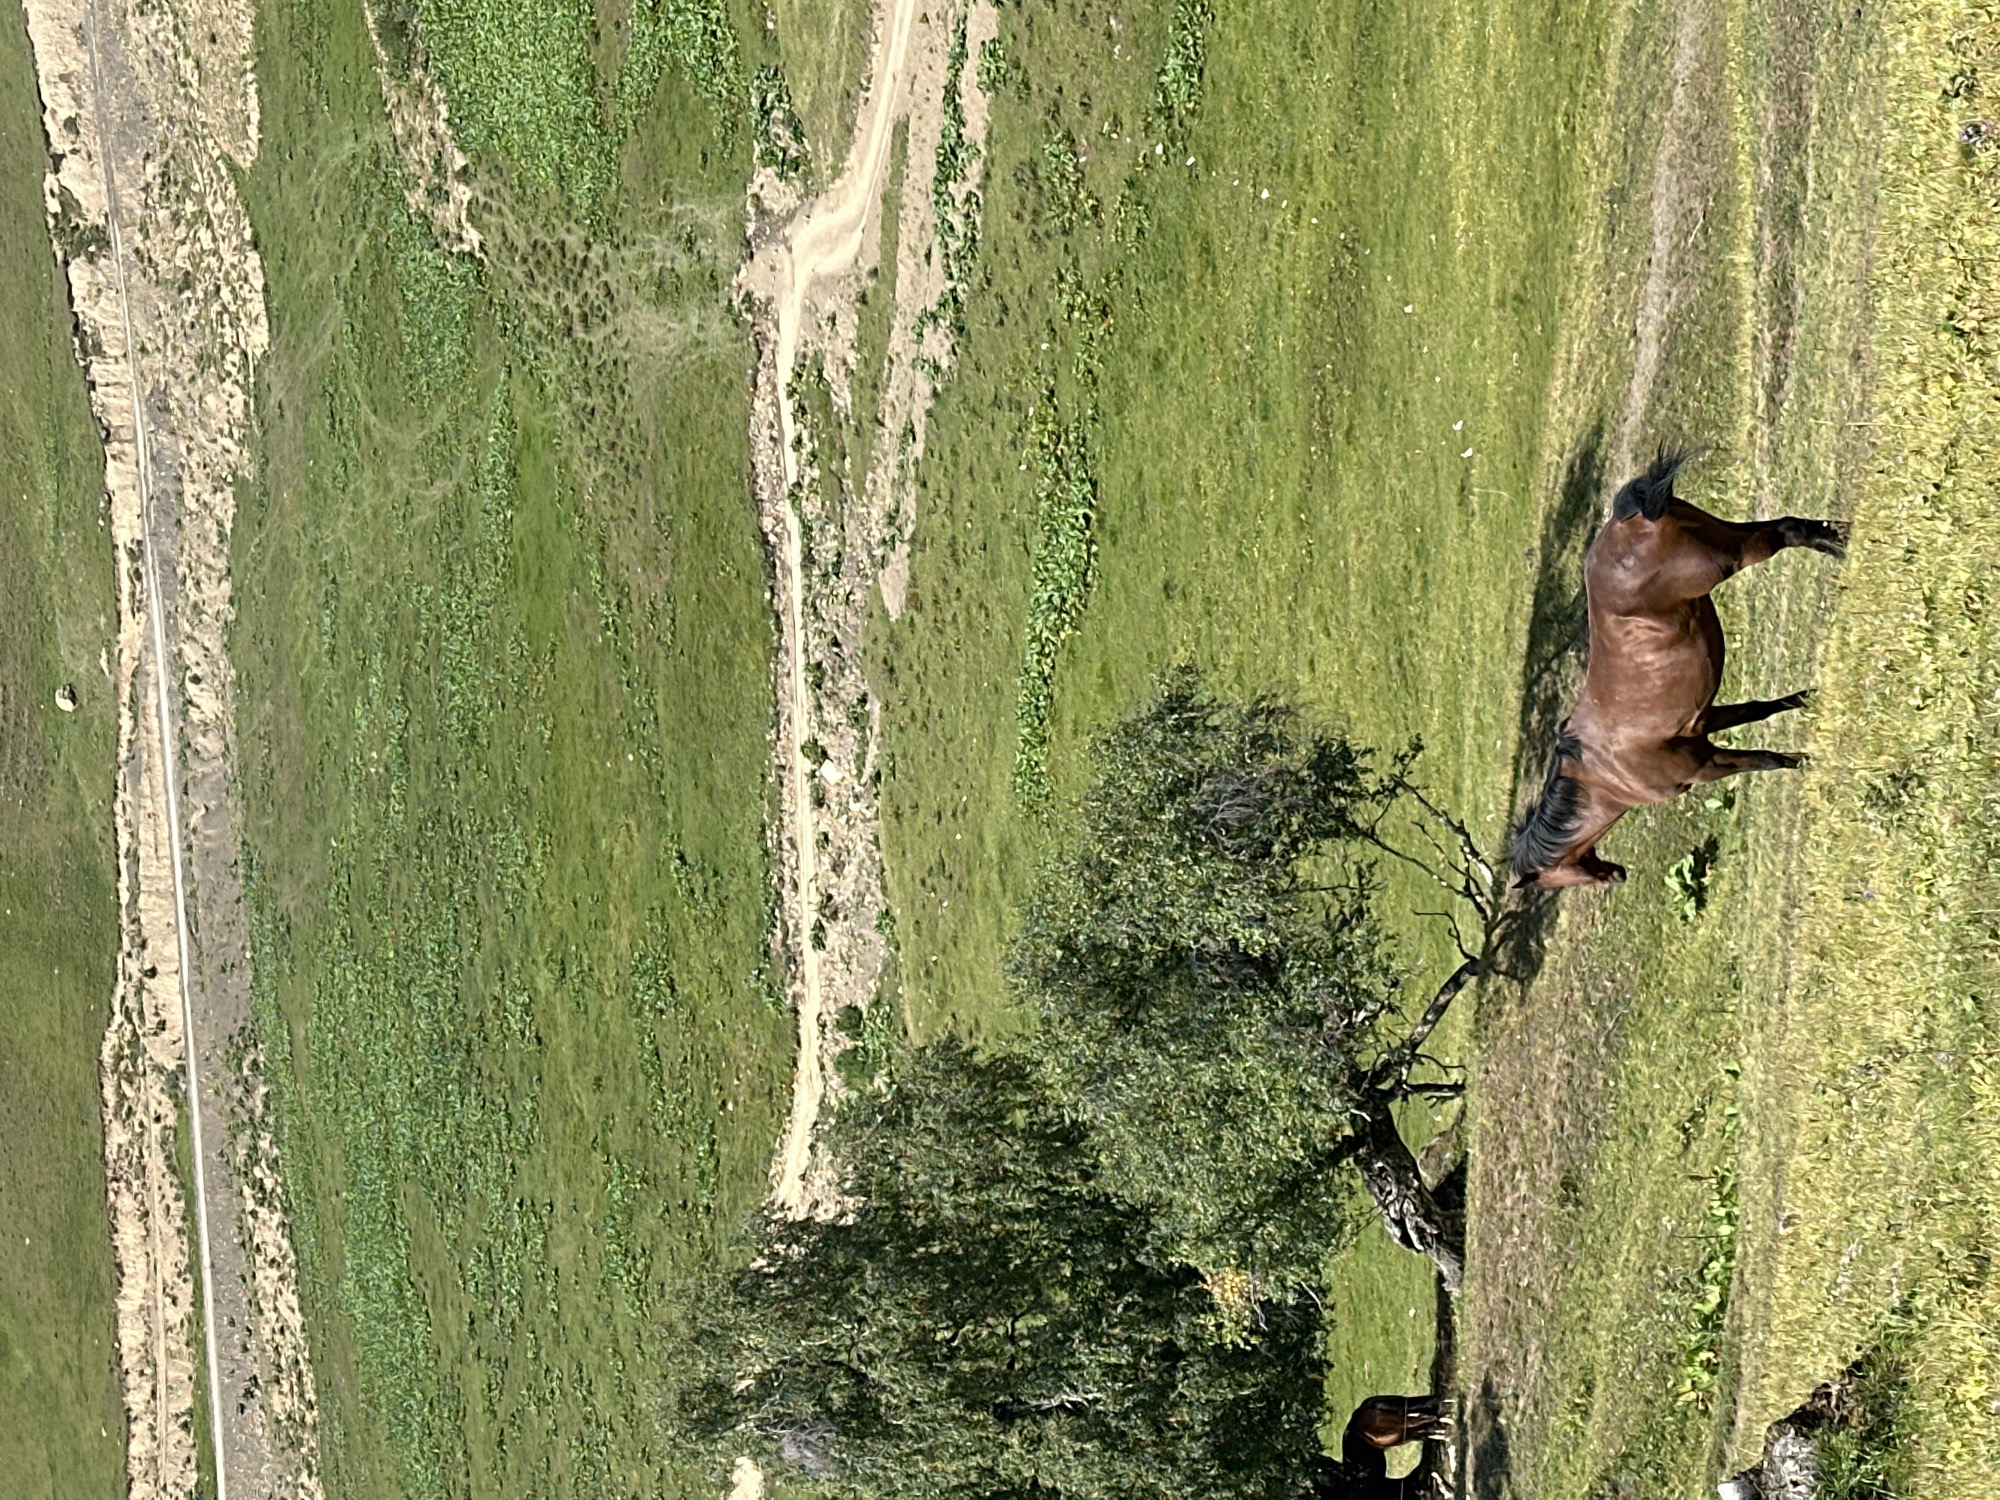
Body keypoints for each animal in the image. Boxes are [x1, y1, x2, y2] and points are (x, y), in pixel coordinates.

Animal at [1509, 451, 1847, 890]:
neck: (1603, 774)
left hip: (1732, 557)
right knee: (1791, 526)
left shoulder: (1705, 767)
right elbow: (1761, 709)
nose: (1616, 877)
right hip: (1724, 533)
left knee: (1786, 534)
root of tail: (1626, 518)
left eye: (1554, 881)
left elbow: (1766, 761)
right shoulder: (1705, 722)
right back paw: (1840, 537)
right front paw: (1807, 701)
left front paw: (1805, 761)